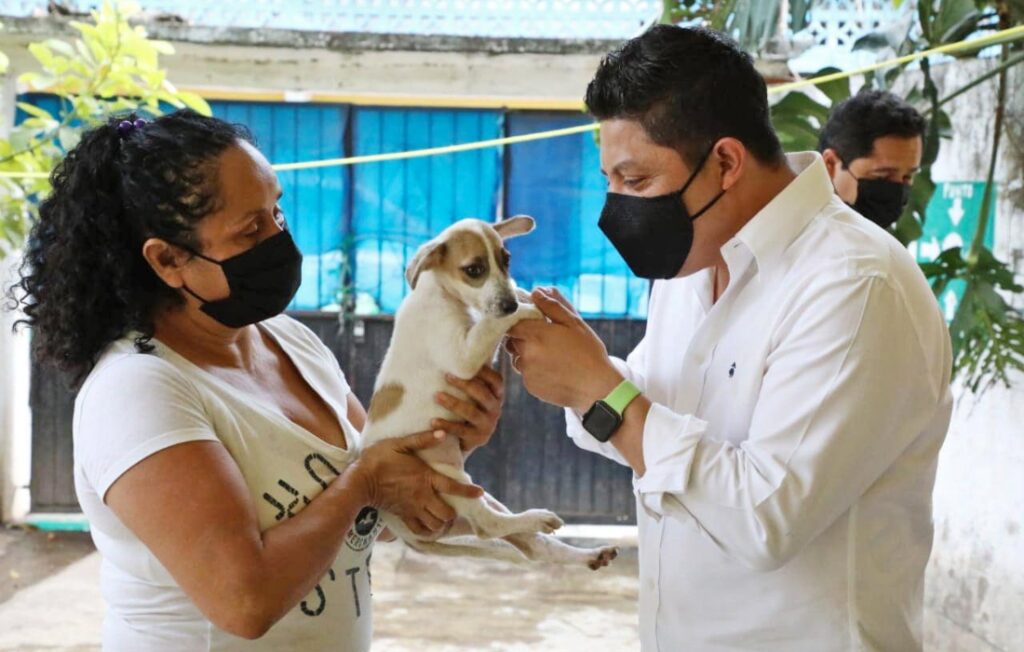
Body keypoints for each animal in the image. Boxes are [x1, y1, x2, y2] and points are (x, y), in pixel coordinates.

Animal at [360, 215, 614, 569]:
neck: (442, 292)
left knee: (532, 546)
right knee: (487, 525)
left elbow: (492, 317)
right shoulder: (463, 356)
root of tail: (398, 527)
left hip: (478, 495)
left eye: (506, 260)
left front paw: (526, 295)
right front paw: (526, 309)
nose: (508, 303)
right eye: (474, 270)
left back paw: (586, 552)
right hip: (446, 475)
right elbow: (493, 322)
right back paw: (537, 519)